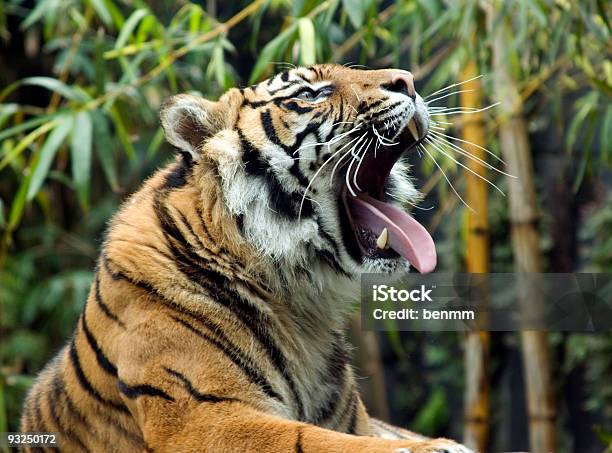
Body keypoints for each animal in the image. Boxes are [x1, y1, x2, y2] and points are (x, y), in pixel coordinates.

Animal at [17, 64, 468, 452]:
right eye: (310, 94)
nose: (408, 81)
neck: (301, 307)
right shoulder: (201, 417)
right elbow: (312, 441)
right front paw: (437, 447)